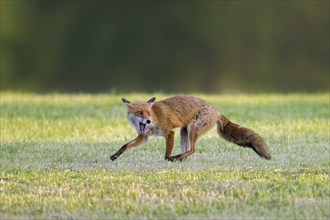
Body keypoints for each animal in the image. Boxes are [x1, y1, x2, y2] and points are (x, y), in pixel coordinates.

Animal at [111, 96, 270, 162]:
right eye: (140, 113)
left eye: (148, 113)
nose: (148, 120)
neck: (155, 119)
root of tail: (216, 111)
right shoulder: (143, 136)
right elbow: (125, 145)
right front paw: (115, 155)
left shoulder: (169, 133)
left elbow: (166, 154)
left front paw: (167, 160)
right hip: (184, 132)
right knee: (187, 150)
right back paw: (179, 159)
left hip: (193, 129)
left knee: (192, 150)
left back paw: (176, 158)